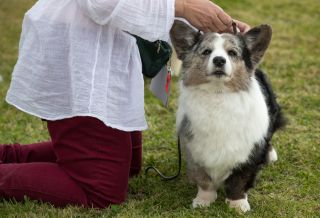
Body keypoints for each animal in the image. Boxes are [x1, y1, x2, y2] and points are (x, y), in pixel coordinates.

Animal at [170, 20, 284, 213]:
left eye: (232, 53)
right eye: (206, 52)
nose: (219, 60)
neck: (218, 94)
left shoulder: (247, 153)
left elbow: (239, 181)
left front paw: (238, 205)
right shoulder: (195, 150)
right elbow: (204, 180)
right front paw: (203, 201)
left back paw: (270, 155)